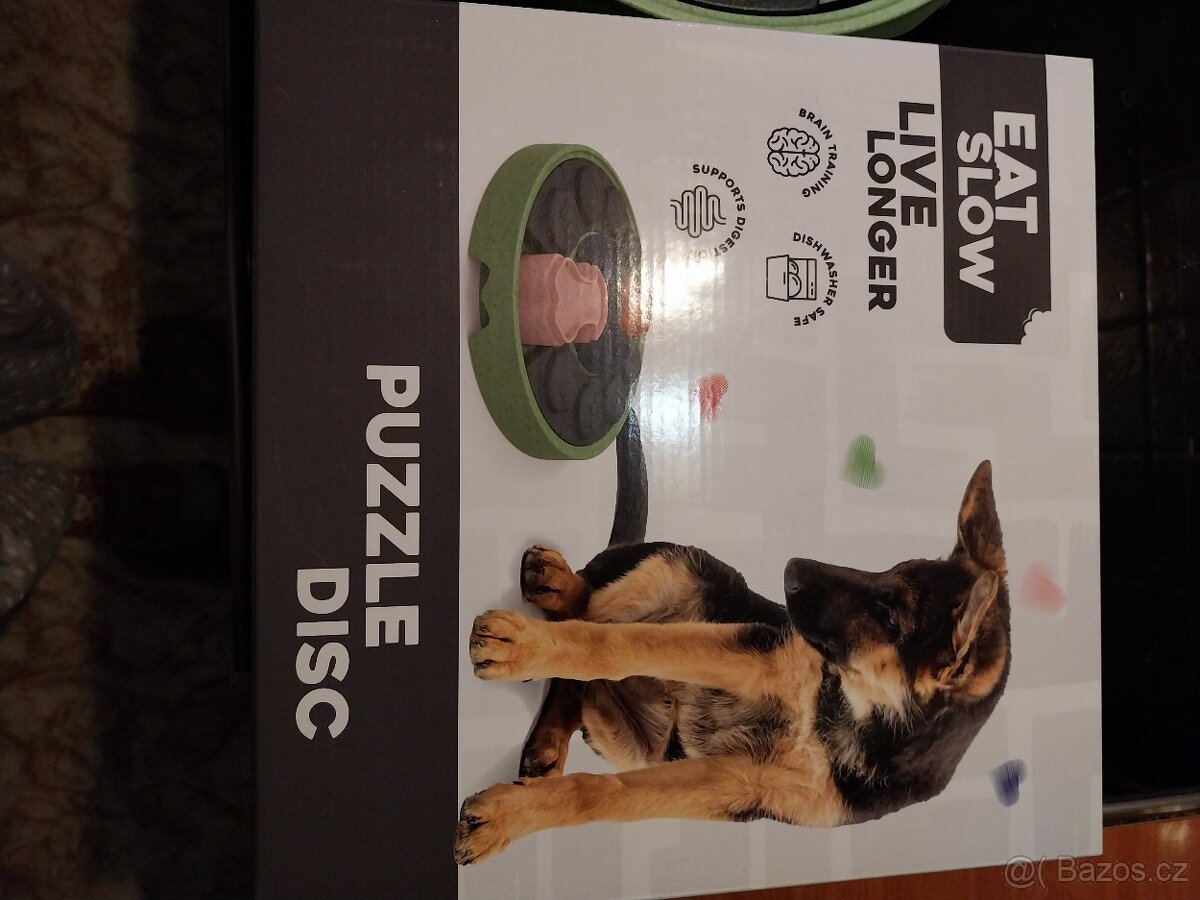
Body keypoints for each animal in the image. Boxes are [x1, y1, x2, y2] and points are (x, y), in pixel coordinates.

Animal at [454, 460, 1010, 864]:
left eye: (888, 613)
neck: (844, 718)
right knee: (590, 610)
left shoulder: (733, 786)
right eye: (889, 570)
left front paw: (508, 818)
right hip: (681, 568)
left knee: (579, 676)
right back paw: (553, 590)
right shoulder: (752, 652)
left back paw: (547, 743)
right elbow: (611, 645)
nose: (789, 568)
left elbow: (605, 797)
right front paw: (524, 647)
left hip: (637, 744)